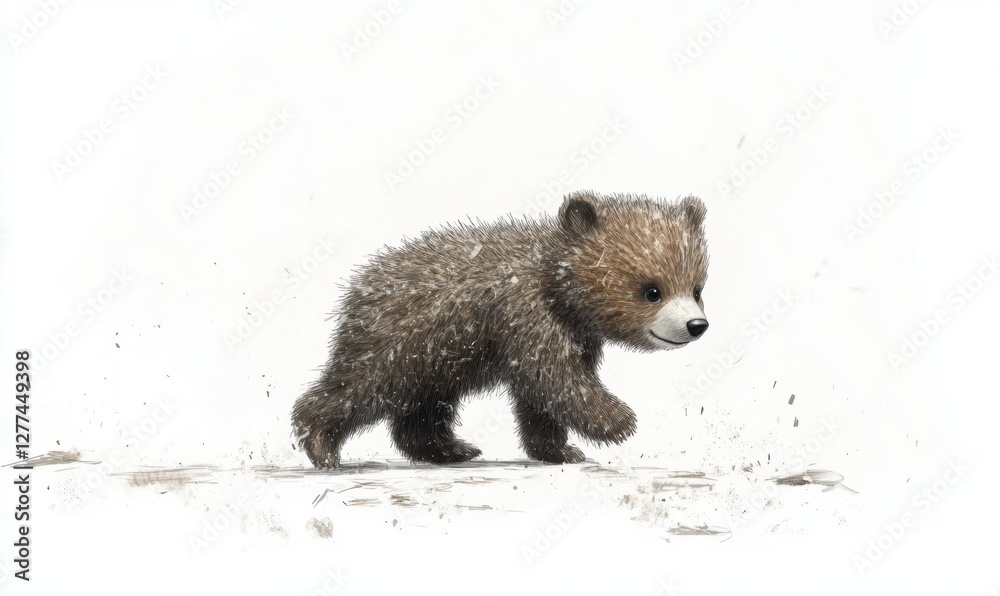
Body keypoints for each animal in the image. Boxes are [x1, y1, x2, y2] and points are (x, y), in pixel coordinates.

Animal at [291, 191, 710, 468]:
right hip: (401, 342)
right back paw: (321, 445)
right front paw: (618, 422)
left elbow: (541, 397)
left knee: (424, 408)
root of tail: (359, 287)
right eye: (652, 290)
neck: (557, 288)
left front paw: (561, 449)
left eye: (696, 288)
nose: (696, 325)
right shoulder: (526, 315)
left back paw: (450, 449)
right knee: (360, 387)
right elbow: (556, 379)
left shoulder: (575, 333)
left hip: (437, 358)